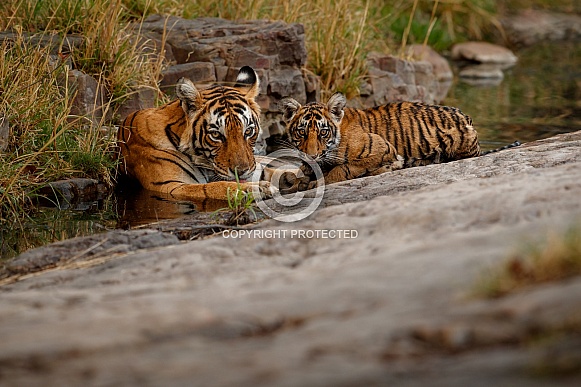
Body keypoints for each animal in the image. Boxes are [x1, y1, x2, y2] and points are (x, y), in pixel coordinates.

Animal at [118, 66, 272, 200]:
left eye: (248, 131)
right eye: (216, 135)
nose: (241, 172)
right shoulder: (170, 186)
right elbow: (212, 187)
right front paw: (256, 188)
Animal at [278, 92, 516, 186]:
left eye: (323, 133)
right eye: (301, 132)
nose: (311, 155)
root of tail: (466, 116)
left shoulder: (381, 148)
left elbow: (342, 169)